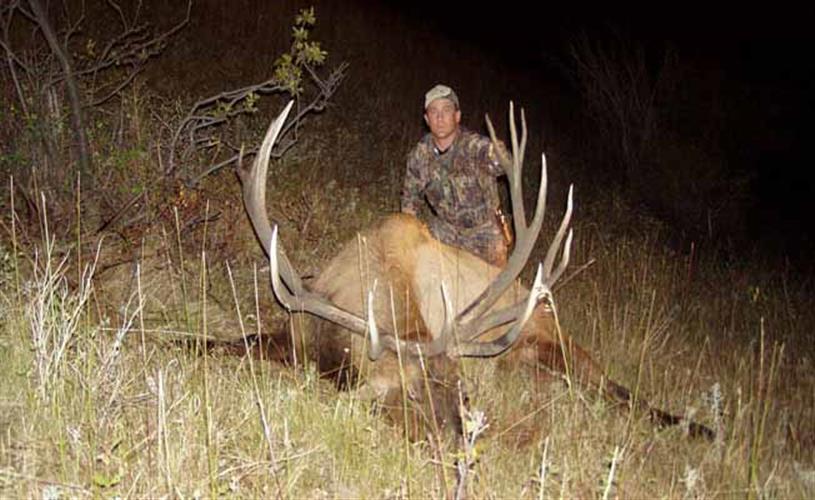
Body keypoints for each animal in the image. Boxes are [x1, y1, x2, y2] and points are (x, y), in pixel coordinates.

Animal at [237, 100, 714, 441]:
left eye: (461, 390)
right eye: (413, 394)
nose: (460, 440)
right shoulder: (294, 327)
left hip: (561, 347)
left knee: (618, 391)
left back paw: (700, 428)